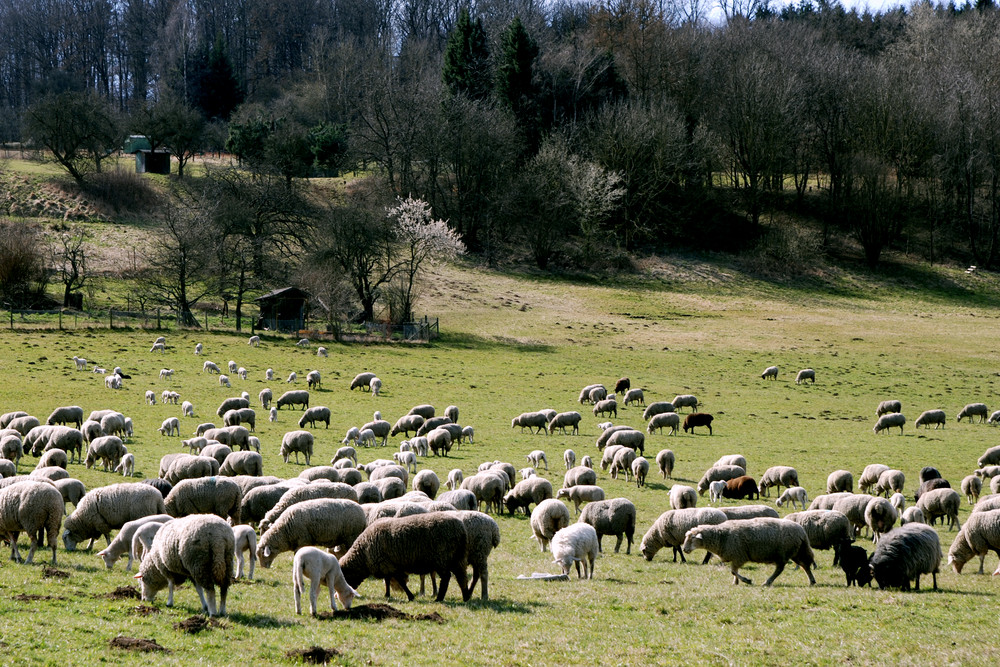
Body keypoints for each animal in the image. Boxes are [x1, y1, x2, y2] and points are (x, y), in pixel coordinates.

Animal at [336, 516, 472, 604]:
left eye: (344, 577)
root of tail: (461, 529)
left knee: (446, 578)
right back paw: (465, 596)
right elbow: (388, 580)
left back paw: (439, 598)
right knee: (461, 577)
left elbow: (400, 581)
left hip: (442, 558)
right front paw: (387, 595)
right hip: (458, 557)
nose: (338, 596)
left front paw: (410, 596)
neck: (363, 555)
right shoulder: (387, 564)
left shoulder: (388, 564)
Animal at [680, 520, 812, 588]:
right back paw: (812, 581)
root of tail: (802, 531)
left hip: (783, 553)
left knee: (780, 569)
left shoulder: (739, 556)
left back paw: (767, 582)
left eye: (693, 538)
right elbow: (734, 571)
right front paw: (735, 582)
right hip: (796, 551)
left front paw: (746, 580)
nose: (685, 549)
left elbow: (733, 571)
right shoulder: (735, 557)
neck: (721, 536)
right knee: (805, 565)